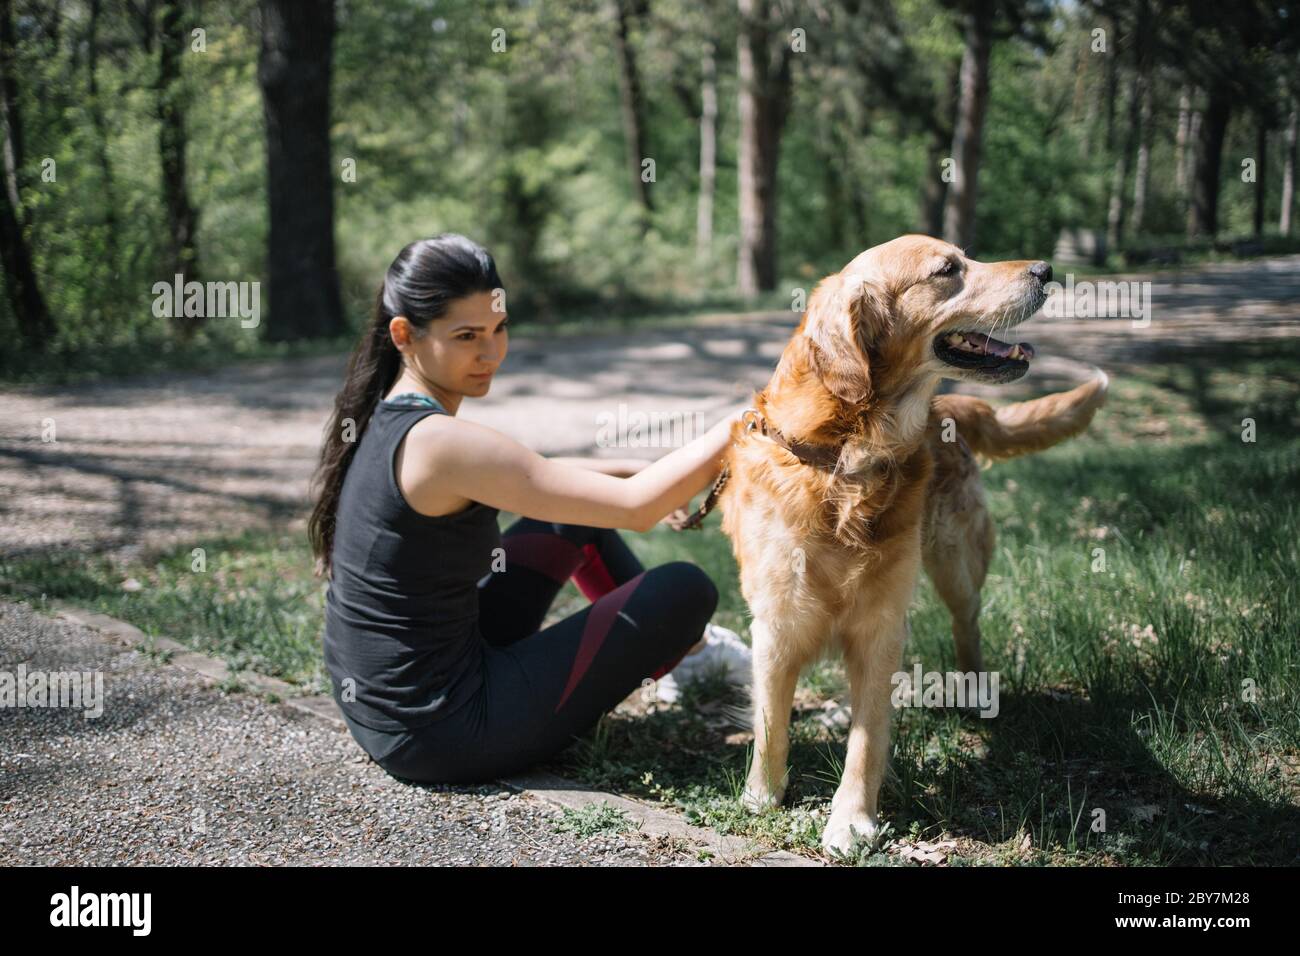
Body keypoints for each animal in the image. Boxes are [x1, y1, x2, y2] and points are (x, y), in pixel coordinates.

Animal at [712, 235, 1107, 858]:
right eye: (948, 269)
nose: (1047, 270)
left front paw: (851, 821)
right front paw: (762, 796)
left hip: (957, 566)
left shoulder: (882, 624)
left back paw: (975, 697)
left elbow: (867, 738)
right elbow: (772, 722)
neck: (847, 454)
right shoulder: (775, 622)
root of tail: (949, 408)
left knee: (968, 625)